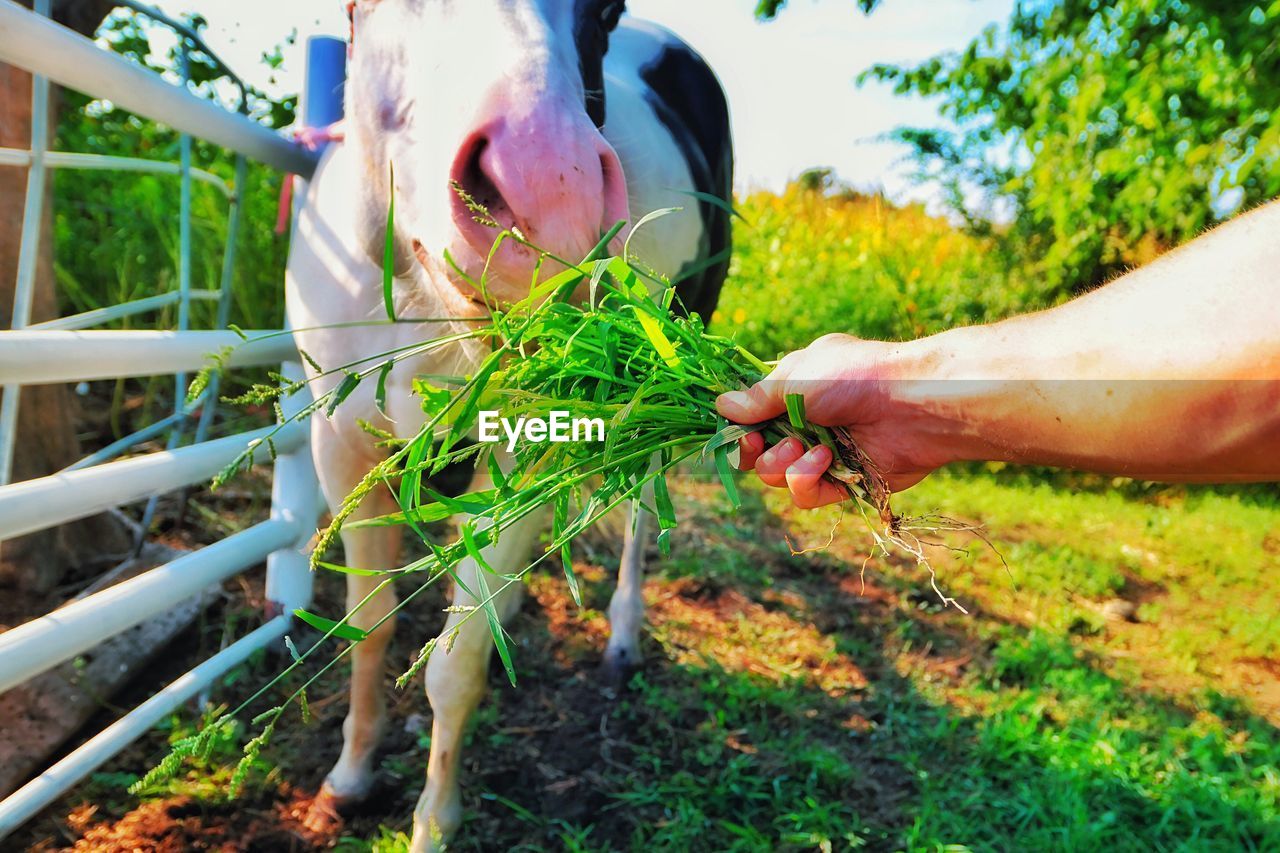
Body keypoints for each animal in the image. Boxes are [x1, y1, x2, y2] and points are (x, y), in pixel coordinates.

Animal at [286, 0, 737, 845]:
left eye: (605, 11)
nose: (546, 204)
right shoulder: (344, 449)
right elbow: (370, 627)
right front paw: (350, 776)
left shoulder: (530, 449)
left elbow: (456, 663)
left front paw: (434, 821)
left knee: (638, 512)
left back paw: (622, 635)